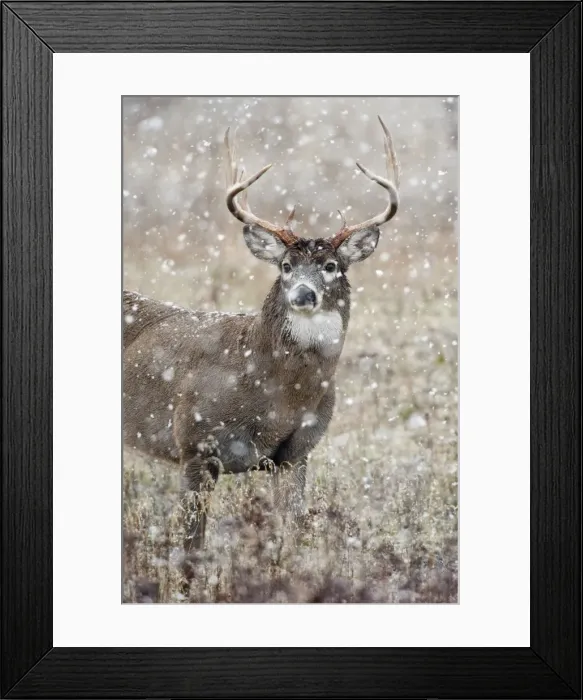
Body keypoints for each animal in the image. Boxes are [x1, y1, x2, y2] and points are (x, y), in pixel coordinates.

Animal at [123, 116, 400, 563]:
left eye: (331, 265)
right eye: (285, 265)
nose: (302, 294)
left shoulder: (296, 453)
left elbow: (293, 536)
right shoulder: (194, 444)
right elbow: (191, 547)